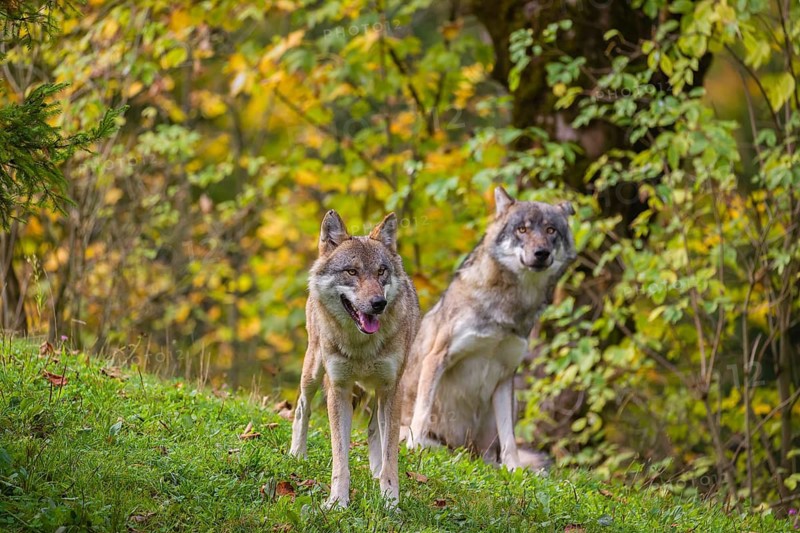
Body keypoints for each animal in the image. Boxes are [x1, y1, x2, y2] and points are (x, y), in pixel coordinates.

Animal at [290, 210, 420, 508]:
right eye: (352, 271)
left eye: (381, 272)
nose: (378, 303)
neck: (362, 347)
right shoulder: (338, 389)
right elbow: (340, 457)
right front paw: (337, 501)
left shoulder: (391, 389)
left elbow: (390, 455)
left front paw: (390, 501)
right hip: (313, 371)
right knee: (302, 407)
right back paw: (296, 455)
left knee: (374, 430)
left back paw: (375, 472)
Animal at [400, 187, 576, 470]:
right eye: (522, 229)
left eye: (551, 230)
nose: (541, 253)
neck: (508, 307)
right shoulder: (436, 358)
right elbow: (423, 413)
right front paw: (413, 448)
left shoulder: (506, 376)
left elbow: (509, 439)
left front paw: (514, 470)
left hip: (510, 406)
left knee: (487, 455)